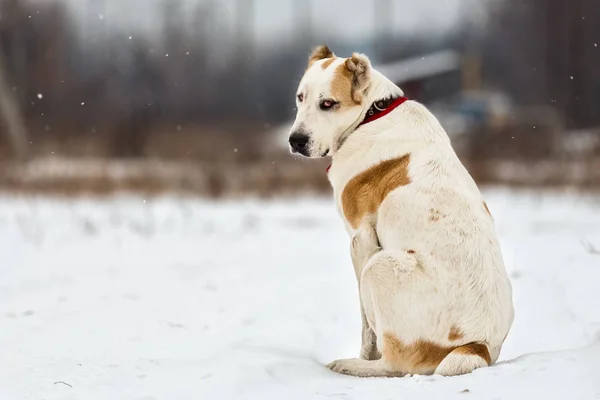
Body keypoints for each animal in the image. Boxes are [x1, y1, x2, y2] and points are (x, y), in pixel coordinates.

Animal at [288, 45, 512, 376]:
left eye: (327, 104)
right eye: (300, 98)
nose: (295, 141)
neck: (372, 113)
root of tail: (477, 345)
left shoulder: (362, 240)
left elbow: (366, 324)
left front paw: (363, 355)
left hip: (379, 266)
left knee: (394, 363)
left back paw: (352, 365)